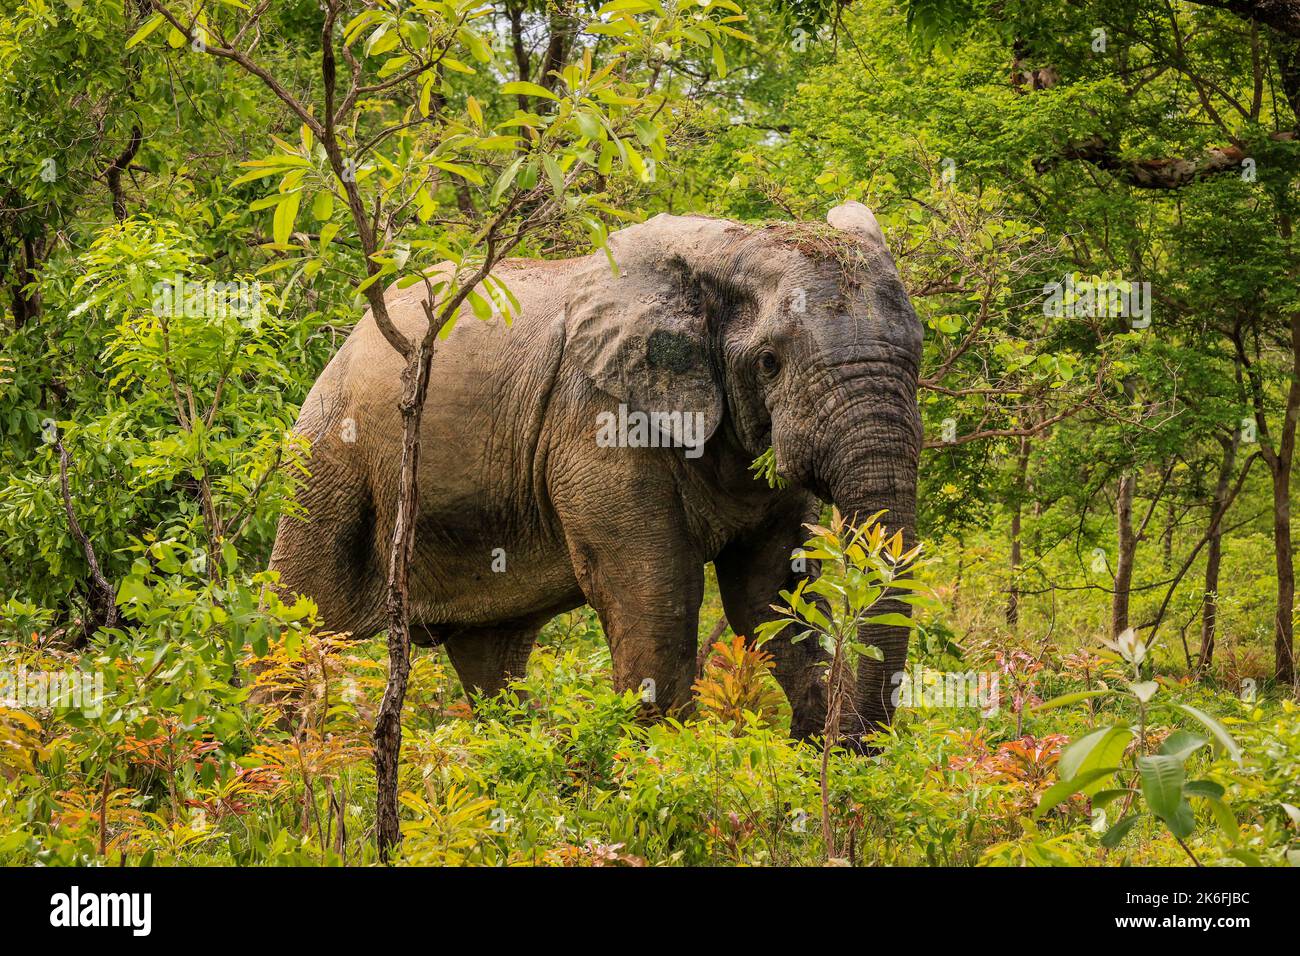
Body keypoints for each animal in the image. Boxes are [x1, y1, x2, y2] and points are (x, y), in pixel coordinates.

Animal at [268, 201, 923, 747]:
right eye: (770, 363)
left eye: (916, 352)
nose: (857, 742)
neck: (727, 249)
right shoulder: (597, 417)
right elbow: (654, 588)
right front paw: (661, 761)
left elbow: (770, 594)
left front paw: (812, 754)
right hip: (327, 460)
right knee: (300, 626)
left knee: (490, 656)